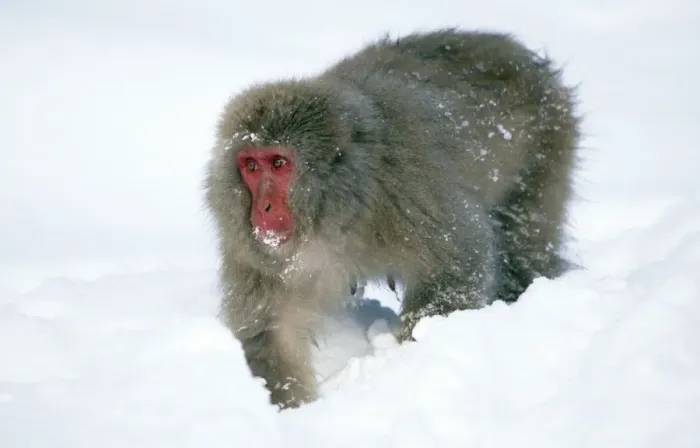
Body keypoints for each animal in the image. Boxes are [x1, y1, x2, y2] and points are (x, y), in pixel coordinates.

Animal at [204, 28, 580, 409]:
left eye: (279, 163)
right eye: (251, 166)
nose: (262, 209)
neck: (338, 210)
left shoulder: (406, 190)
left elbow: (457, 264)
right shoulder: (254, 252)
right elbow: (274, 329)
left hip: (546, 148)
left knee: (523, 250)